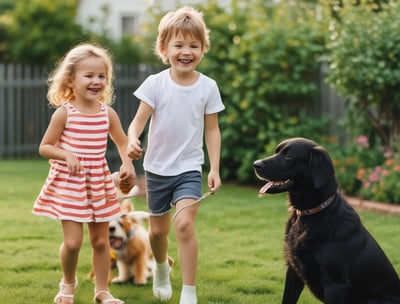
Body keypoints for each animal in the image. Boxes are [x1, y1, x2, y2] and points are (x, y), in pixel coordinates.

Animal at [253, 138, 400, 304]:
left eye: (288, 156)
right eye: (276, 151)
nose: (255, 164)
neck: (310, 215)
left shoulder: (336, 285)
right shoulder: (293, 271)